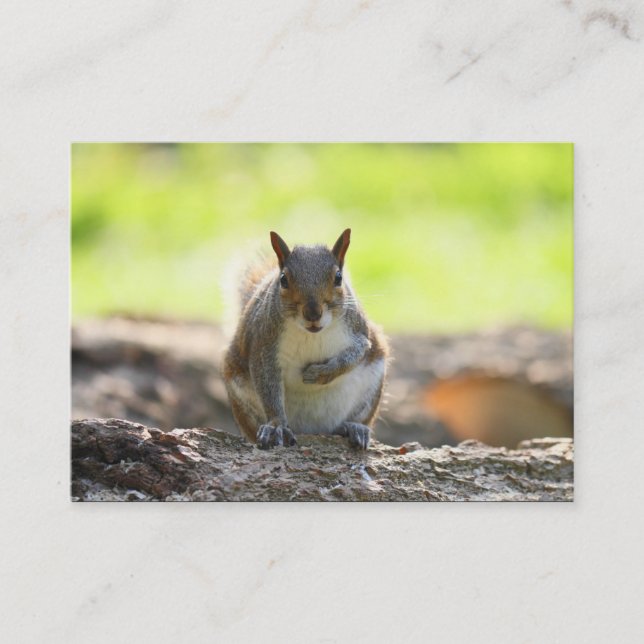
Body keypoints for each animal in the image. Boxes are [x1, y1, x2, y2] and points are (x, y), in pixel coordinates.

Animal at [223, 229, 388, 450]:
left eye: (338, 278)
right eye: (283, 279)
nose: (312, 313)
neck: (312, 334)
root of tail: (312, 430)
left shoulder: (360, 332)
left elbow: (356, 353)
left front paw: (320, 373)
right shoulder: (263, 345)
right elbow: (268, 388)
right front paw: (276, 425)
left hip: (371, 388)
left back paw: (352, 427)